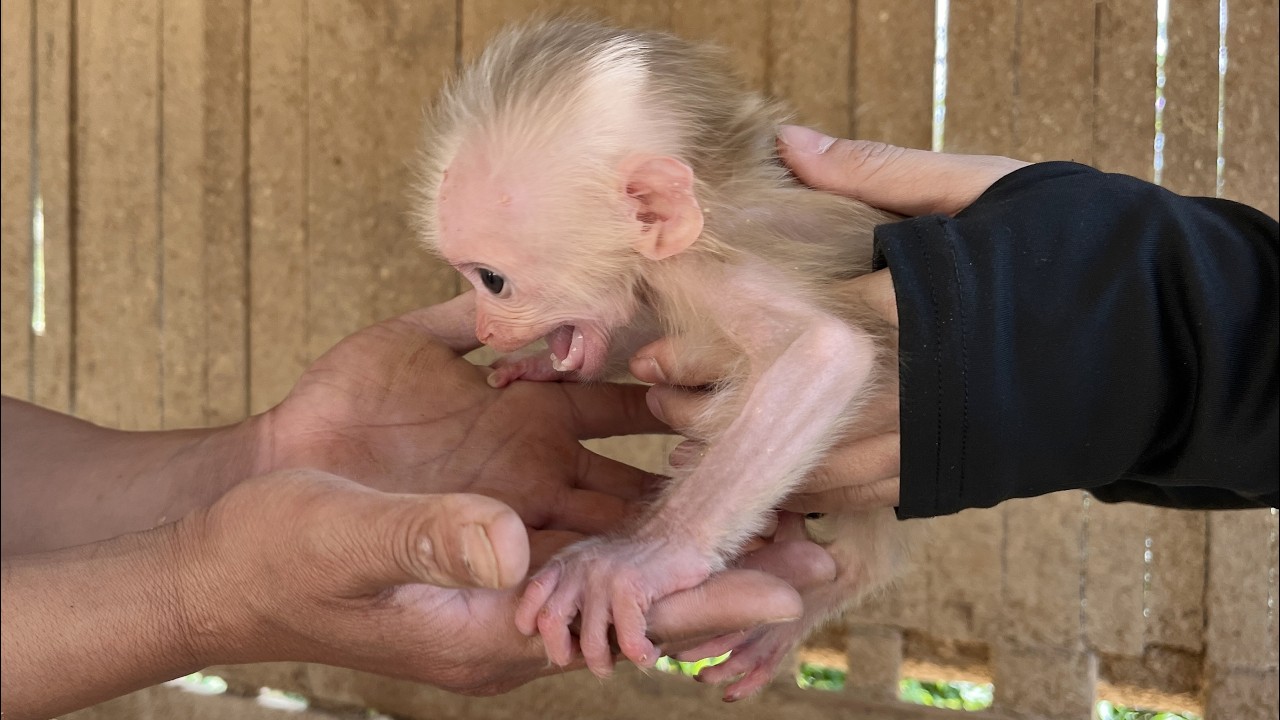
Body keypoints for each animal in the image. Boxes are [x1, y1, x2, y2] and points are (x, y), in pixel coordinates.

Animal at [416, 19, 913, 700]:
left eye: (492, 281)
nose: (486, 325)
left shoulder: (699, 264)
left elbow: (823, 351)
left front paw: (643, 559)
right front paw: (538, 365)